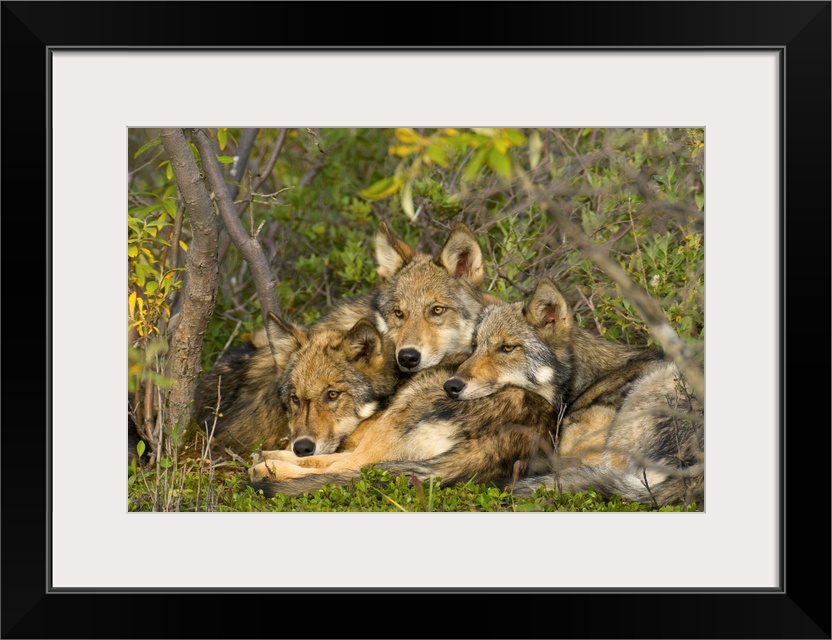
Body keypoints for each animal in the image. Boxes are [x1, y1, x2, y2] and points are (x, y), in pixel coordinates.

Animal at [249, 278, 704, 509]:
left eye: (333, 395)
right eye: (295, 400)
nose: (303, 442)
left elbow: (332, 463)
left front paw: (275, 462)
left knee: (350, 468)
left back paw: (267, 468)